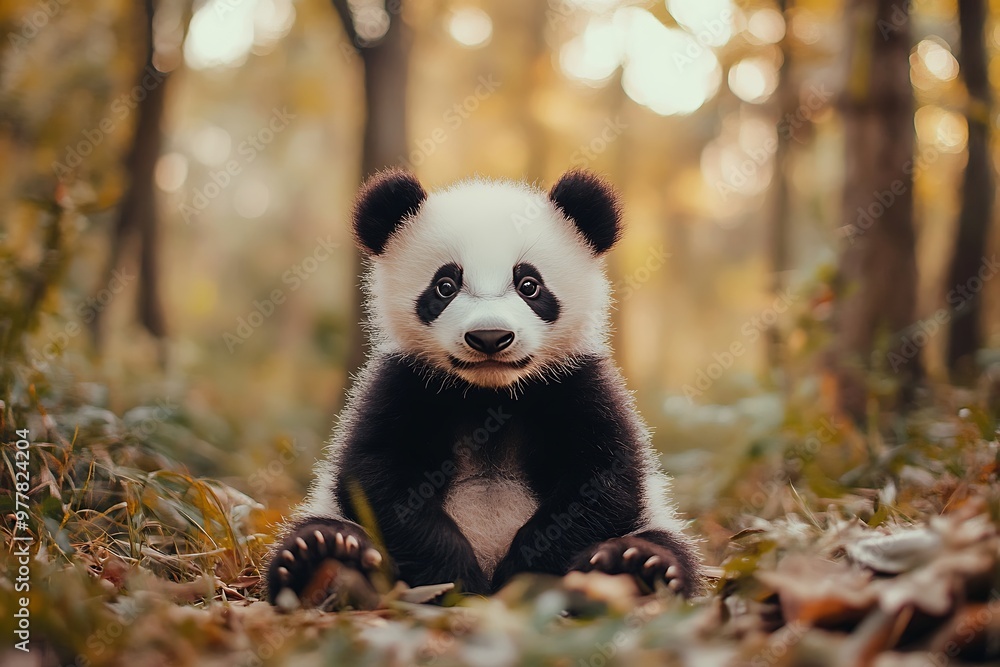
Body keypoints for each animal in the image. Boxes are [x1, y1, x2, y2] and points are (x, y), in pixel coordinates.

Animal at [266, 169, 704, 607]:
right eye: (445, 285)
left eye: (529, 285)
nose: (490, 336)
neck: (489, 394)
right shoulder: (402, 384)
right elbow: (380, 476)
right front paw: (455, 583)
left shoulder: (578, 385)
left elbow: (599, 481)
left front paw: (526, 578)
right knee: (321, 529)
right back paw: (326, 556)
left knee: (668, 544)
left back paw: (632, 564)